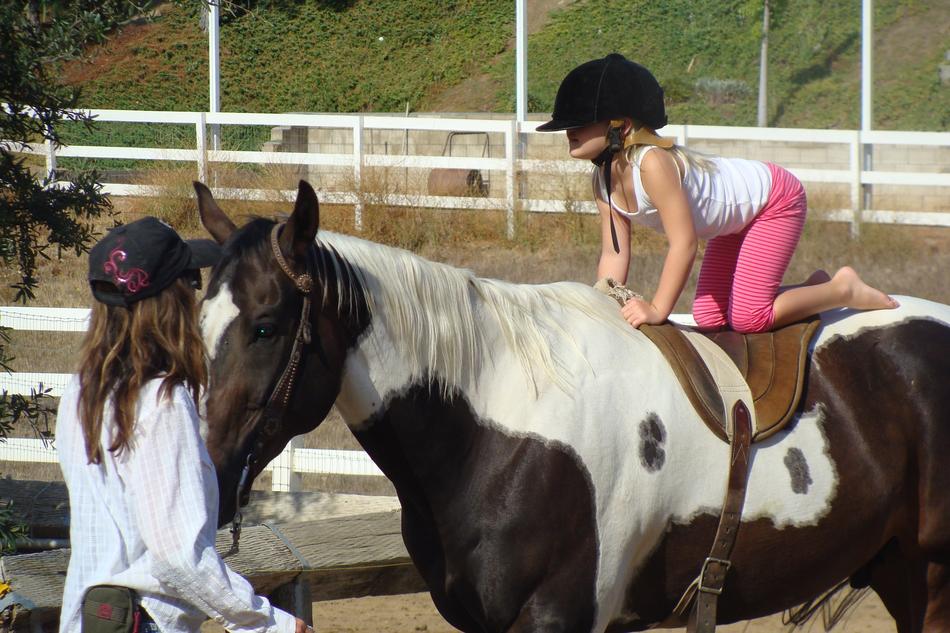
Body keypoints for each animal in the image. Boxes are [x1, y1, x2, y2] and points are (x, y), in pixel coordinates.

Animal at [193, 180, 950, 628]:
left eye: (265, 327)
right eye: (200, 324)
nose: (212, 480)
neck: (498, 427)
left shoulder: (559, 614)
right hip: (899, 567)